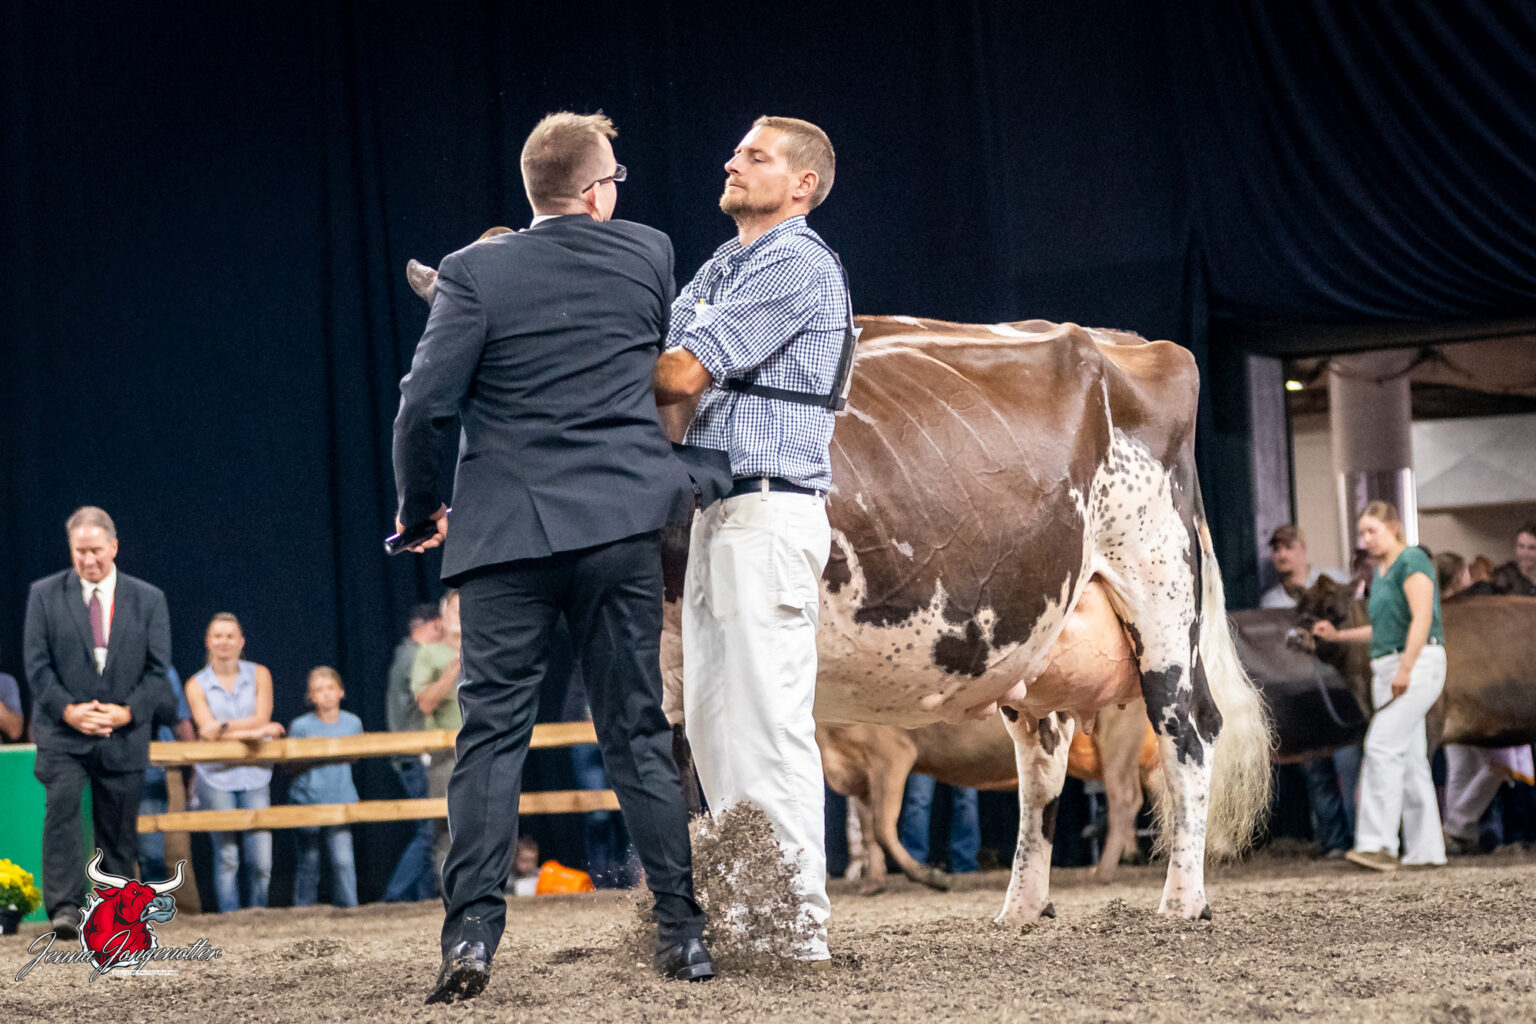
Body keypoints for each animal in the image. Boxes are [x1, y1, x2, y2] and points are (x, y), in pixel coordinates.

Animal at [820, 700, 1163, 894]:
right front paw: (873, 884)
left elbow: (881, 826)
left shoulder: (890, 752)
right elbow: (868, 831)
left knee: (1124, 798)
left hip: (1118, 732)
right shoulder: (859, 770)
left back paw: (1103, 872)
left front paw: (930, 876)